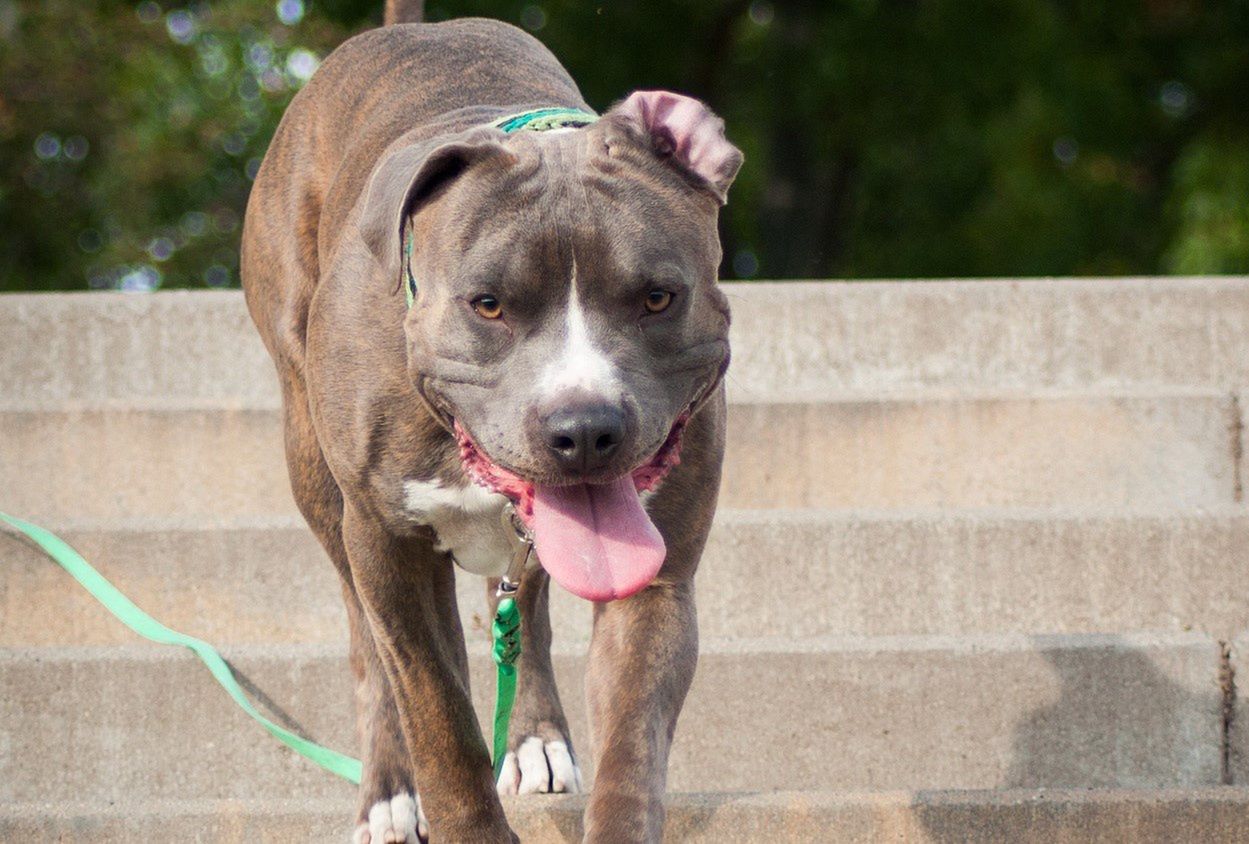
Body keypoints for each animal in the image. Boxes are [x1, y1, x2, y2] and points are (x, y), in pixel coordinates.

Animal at [243, 3, 739, 839]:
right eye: (488, 304)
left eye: (657, 297)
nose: (585, 429)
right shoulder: (387, 547)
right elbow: (437, 715)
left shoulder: (660, 574)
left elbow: (631, 743)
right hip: (312, 465)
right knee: (368, 648)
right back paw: (387, 792)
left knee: (522, 609)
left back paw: (534, 739)